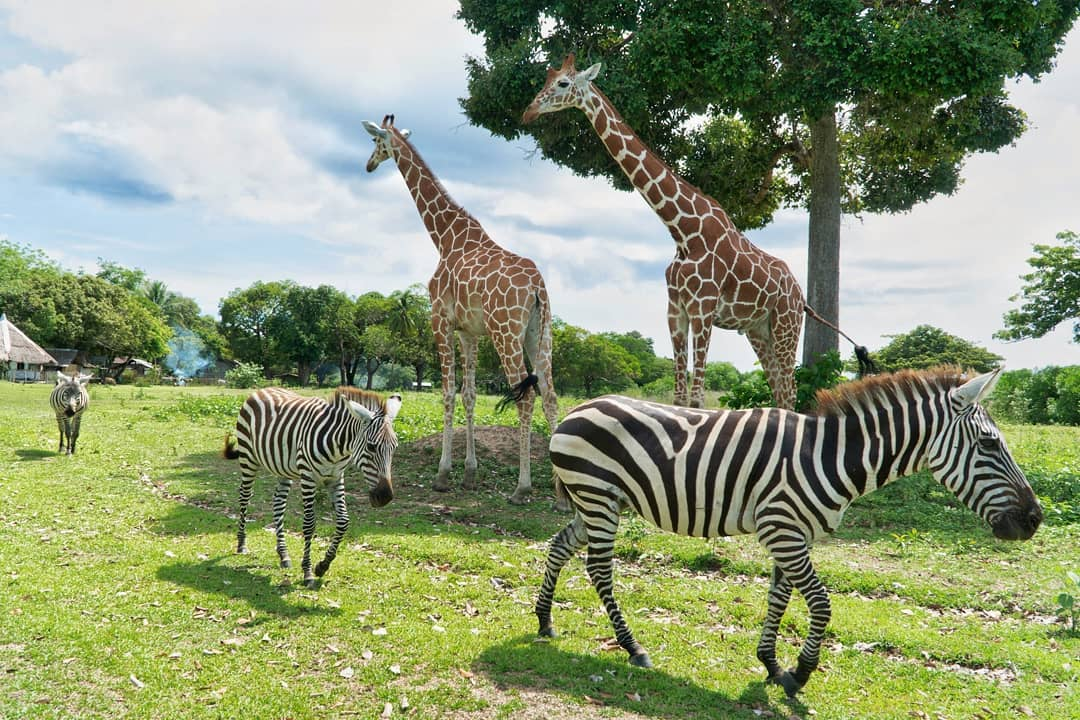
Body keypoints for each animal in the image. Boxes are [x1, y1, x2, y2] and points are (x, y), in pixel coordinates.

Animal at [225, 386, 403, 587]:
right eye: (372, 447)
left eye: (394, 447)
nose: (385, 497)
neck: (338, 448)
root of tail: (263, 389)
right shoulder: (308, 477)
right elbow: (309, 523)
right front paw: (308, 571)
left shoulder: (336, 478)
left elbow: (343, 521)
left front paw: (323, 565)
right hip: (248, 458)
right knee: (244, 496)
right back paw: (241, 543)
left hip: (283, 469)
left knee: (278, 503)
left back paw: (283, 554)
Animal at [362, 115, 570, 509]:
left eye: (377, 143)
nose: (368, 165)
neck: (445, 237)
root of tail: (538, 287)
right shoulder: (468, 331)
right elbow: (469, 394)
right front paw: (470, 473)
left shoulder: (439, 321)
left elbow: (446, 393)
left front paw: (443, 475)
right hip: (541, 332)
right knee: (550, 395)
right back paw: (563, 493)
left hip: (507, 333)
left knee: (526, 397)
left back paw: (522, 488)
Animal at [522, 53, 868, 408]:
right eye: (545, 79)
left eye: (563, 83)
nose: (528, 112)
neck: (682, 229)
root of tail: (801, 297)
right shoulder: (676, 311)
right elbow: (679, 395)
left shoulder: (704, 308)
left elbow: (698, 397)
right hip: (759, 330)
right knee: (779, 390)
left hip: (786, 325)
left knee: (790, 390)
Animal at [535, 369, 1041, 695]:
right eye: (990, 444)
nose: (1034, 519)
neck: (831, 458)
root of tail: (578, 408)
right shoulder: (782, 529)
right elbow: (820, 602)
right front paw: (801, 672)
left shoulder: (792, 534)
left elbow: (780, 597)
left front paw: (772, 664)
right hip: (598, 497)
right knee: (600, 570)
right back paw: (633, 647)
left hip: (596, 502)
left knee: (559, 546)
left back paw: (543, 621)